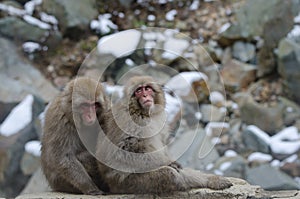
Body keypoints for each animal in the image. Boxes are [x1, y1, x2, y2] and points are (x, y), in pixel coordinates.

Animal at [96, 75, 232, 194]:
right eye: (138, 91)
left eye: (147, 88)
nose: (145, 95)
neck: (142, 112)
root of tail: (112, 186)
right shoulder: (130, 122)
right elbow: (123, 152)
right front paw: (168, 163)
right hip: (129, 184)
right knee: (170, 174)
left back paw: (210, 180)